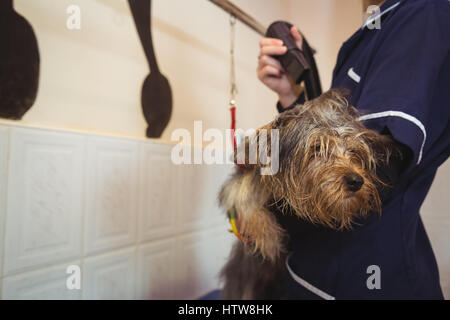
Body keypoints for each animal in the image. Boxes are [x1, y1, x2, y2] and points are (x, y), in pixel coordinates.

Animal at [219, 89, 398, 298]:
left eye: (353, 151)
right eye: (318, 147)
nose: (356, 181)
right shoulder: (242, 178)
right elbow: (243, 195)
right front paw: (267, 233)